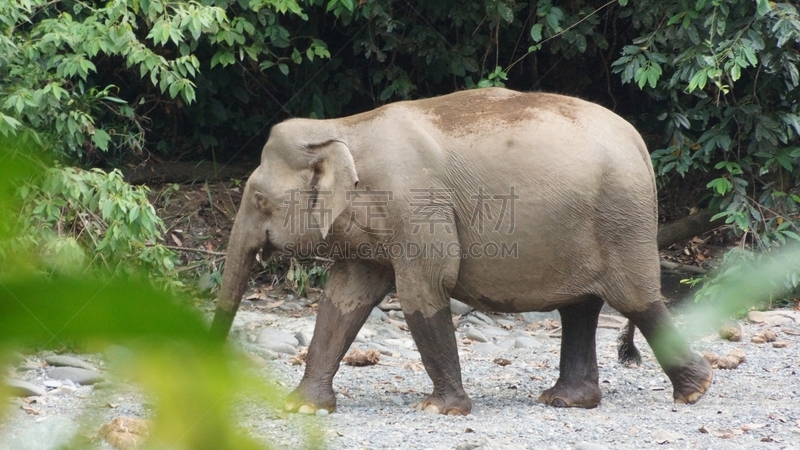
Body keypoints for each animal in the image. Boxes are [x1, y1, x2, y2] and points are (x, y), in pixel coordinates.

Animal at [208, 87, 712, 414]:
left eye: (259, 200)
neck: (344, 127)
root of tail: (641, 145)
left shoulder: (417, 205)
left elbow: (425, 289)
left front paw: (439, 410)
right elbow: (344, 299)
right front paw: (301, 409)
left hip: (621, 218)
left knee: (635, 299)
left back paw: (695, 391)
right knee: (580, 307)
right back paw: (565, 400)